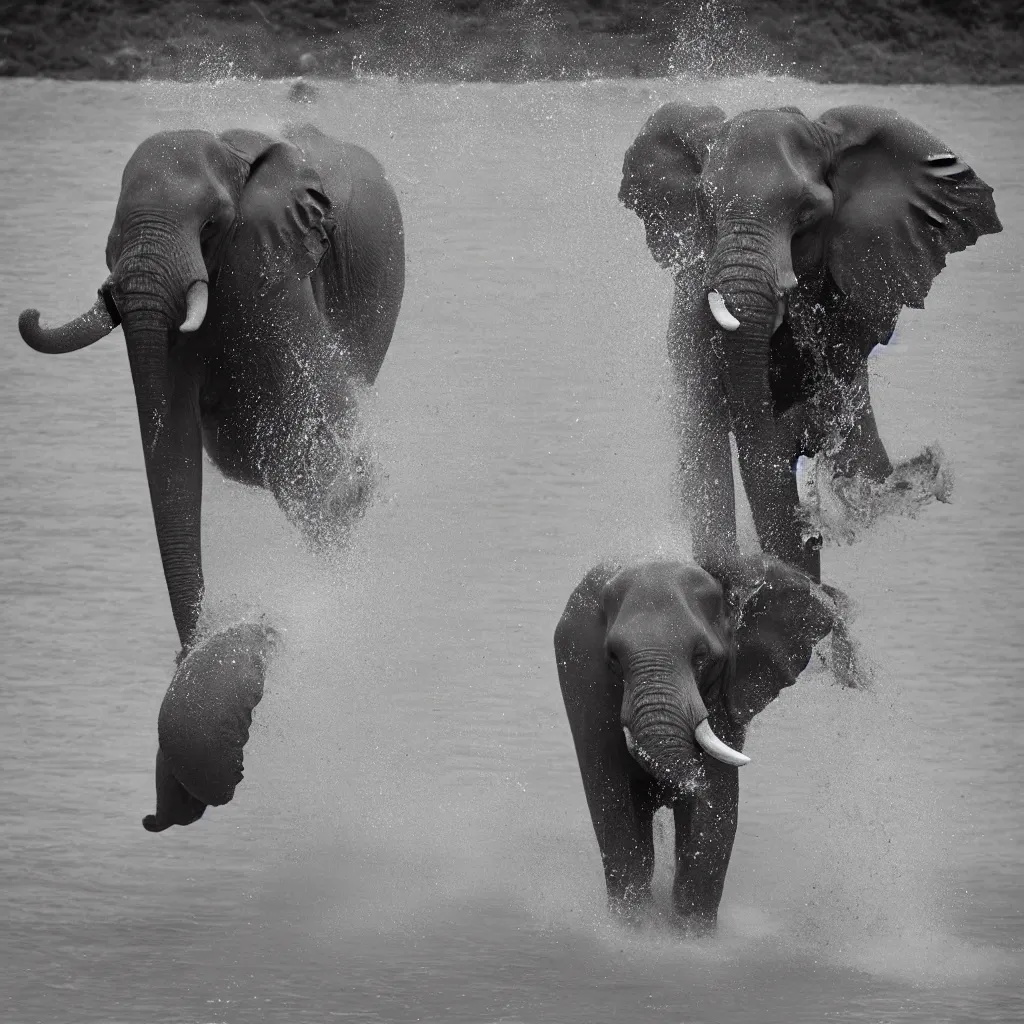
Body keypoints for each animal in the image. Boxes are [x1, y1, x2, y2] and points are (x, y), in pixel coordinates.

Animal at [19, 123, 403, 659]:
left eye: (211, 225)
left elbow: (320, 415)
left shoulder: (271, 268)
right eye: (112, 238)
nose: (187, 652)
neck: (231, 154)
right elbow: (175, 437)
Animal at [557, 557, 835, 933]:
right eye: (613, 657)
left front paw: (690, 936)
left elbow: (716, 806)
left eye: (701, 656)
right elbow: (613, 800)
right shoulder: (584, 681)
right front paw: (634, 930)